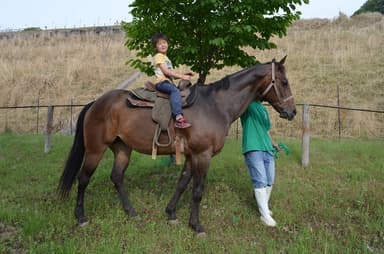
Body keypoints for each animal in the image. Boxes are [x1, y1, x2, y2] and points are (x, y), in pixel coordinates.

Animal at [57, 56, 296, 236]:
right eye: (284, 82)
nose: (292, 112)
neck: (215, 105)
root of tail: (96, 103)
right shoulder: (202, 155)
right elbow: (197, 191)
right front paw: (196, 225)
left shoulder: (191, 155)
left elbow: (182, 184)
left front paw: (171, 213)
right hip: (95, 150)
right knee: (83, 179)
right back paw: (81, 217)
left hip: (123, 149)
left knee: (116, 177)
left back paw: (131, 211)